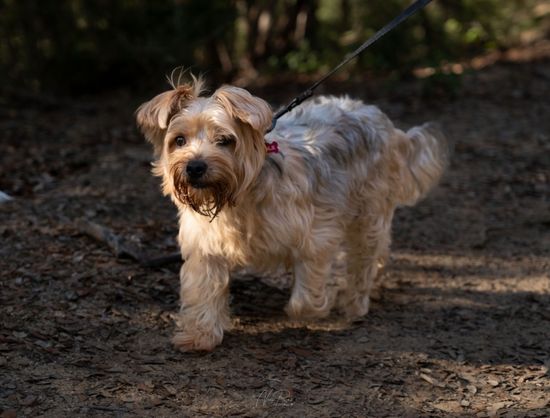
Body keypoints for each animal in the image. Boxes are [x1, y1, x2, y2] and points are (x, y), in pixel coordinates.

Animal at [136, 76, 450, 352]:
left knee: (365, 256)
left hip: (369, 212)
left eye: (225, 140)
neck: (238, 198)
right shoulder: (206, 245)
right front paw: (200, 336)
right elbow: (203, 290)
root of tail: (380, 119)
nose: (195, 167)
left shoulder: (316, 235)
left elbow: (305, 300)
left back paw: (354, 302)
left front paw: (323, 300)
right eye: (179, 140)